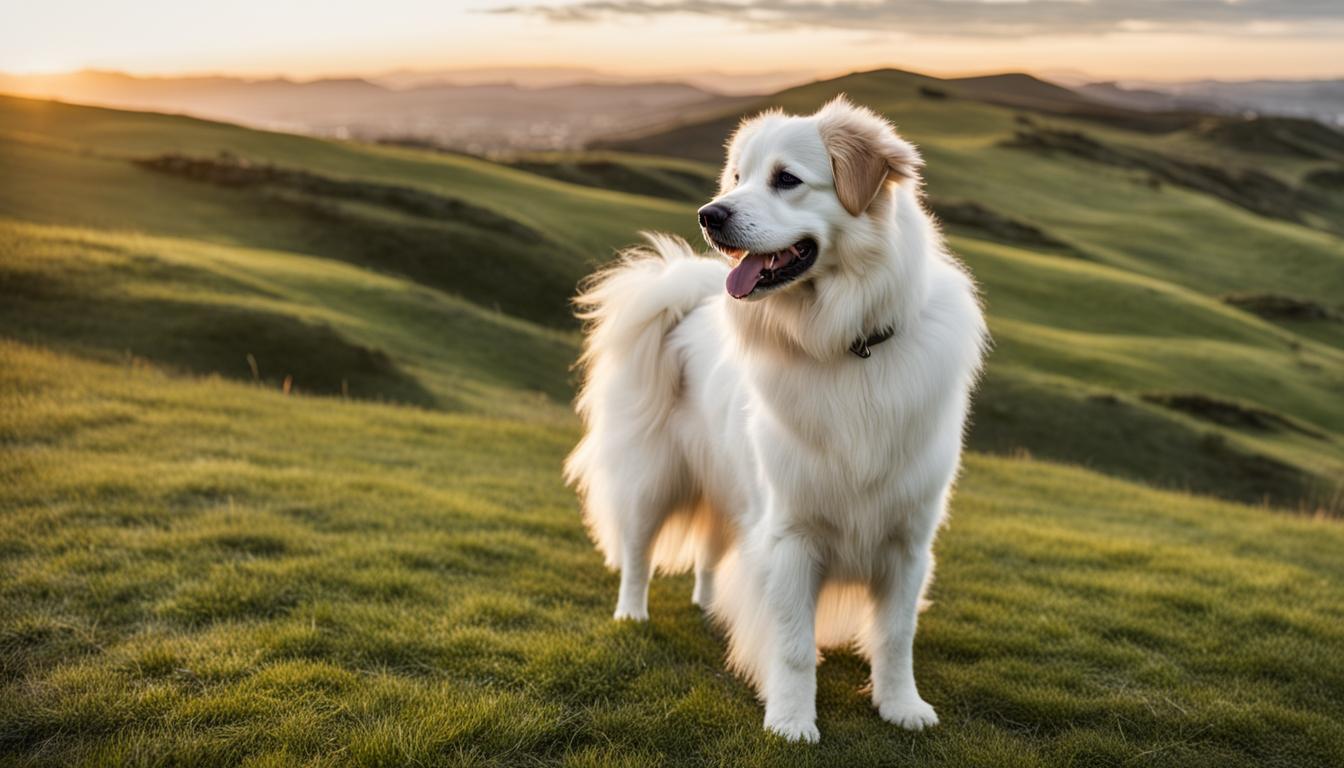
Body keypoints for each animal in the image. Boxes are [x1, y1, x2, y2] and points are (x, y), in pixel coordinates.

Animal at [564, 97, 989, 747]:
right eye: (738, 178)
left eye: (786, 179)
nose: (709, 214)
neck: (847, 345)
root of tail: (687, 305)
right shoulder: (792, 536)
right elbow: (791, 644)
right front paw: (791, 721)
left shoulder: (907, 540)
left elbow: (896, 637)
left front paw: (900, 706)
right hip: (652, 482)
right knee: (636, 553)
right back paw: (631, 615)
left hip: (731, 492)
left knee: (712, 553)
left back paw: (708, 605)